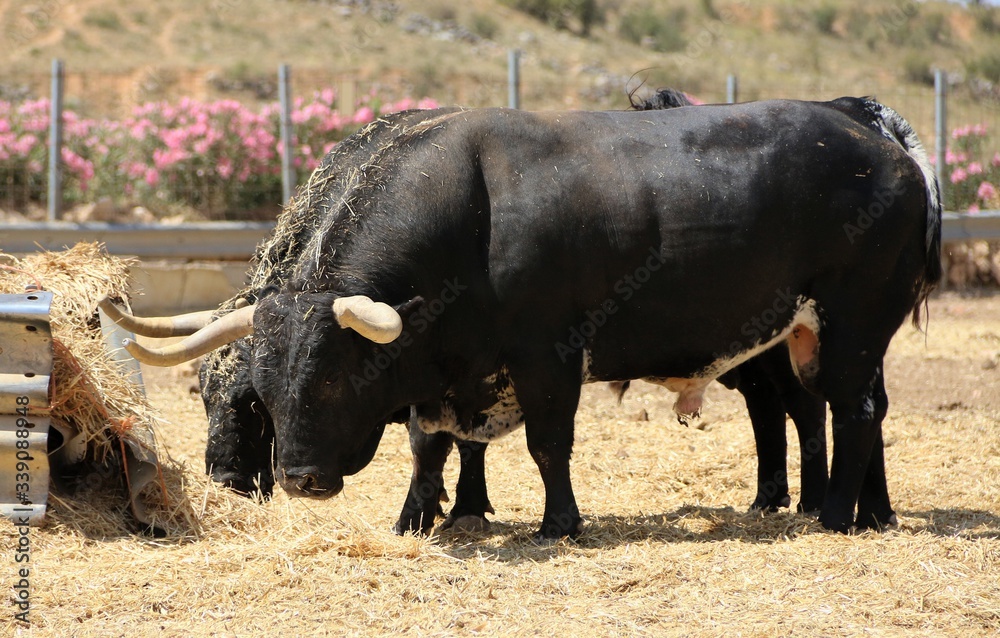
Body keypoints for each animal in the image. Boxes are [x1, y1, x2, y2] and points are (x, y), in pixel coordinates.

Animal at [116, 98, 941, 540]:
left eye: (331, 381)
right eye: (262, 387)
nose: (299, 480)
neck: (470, 213)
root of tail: (873, 135)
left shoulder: (547, 354)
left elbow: (548, 444)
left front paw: (559, 522)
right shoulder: (443, 368)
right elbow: (432, 447)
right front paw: (422, 517)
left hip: (850, 325)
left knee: (850, 412)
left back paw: (832, 512)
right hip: (815, 338)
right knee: (840, 411)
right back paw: (866, 509)